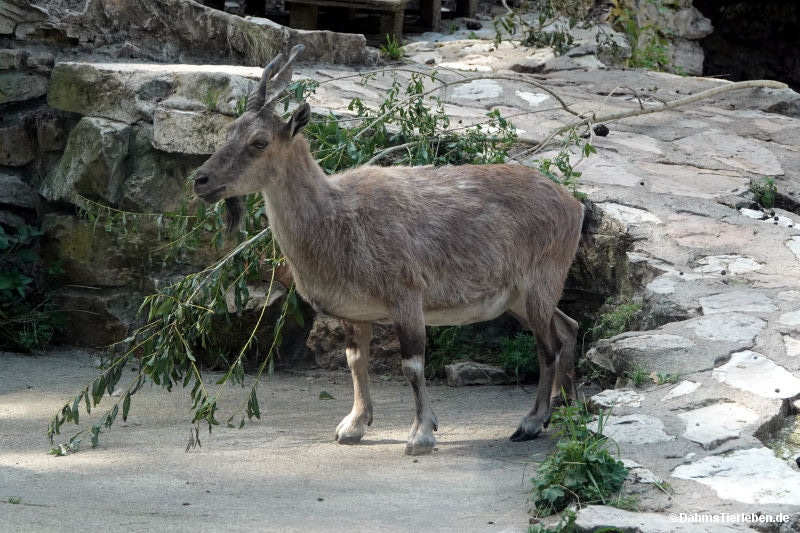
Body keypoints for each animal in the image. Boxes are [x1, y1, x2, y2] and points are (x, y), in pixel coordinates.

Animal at [193, 45, 585, 455]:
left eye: (259, 142)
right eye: (228, 131)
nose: (200, 180)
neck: (336, 218)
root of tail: (574, 205)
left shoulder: (407, 296)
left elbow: (412, 365)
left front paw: (421, 434)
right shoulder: (356, 311)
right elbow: (355, 361)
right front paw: (353, 426)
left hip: (540, 282)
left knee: (547, 347)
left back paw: (532, 422)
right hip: (519, 297)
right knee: (567, 328)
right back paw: (568, 407)